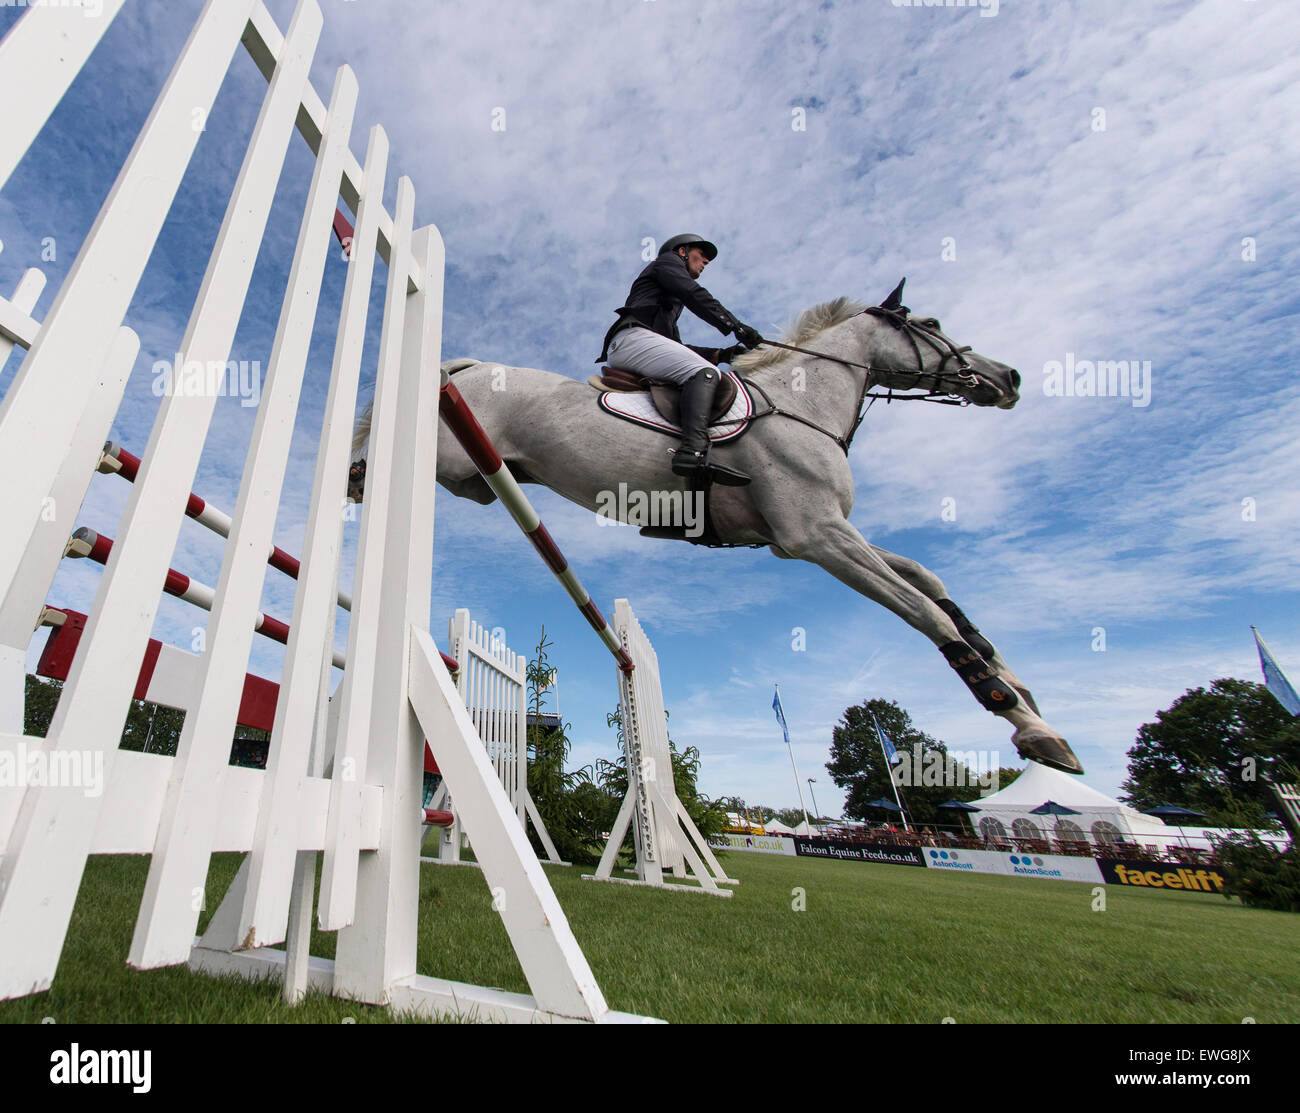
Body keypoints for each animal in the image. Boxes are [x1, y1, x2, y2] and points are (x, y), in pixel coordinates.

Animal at [356, 280, 1086, 774]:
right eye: (931, 323)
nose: (1009, 376)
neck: (803, 404)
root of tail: (469, 368)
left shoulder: (815, 535)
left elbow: (931, 582)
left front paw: (1017, 685)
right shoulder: (818, 539)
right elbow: (924, 613)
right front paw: (1024, 721)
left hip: (475, 478)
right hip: (444, 453)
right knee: (367, 466)